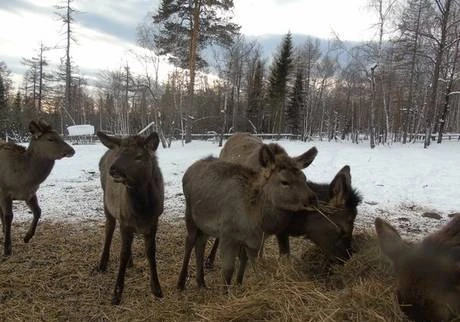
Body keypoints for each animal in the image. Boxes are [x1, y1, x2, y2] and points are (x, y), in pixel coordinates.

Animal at [0, 120, 74, 256]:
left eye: (60, 136)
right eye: (50, 139)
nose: (72, 150)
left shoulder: (30, 193)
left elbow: (38, 211)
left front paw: (27, 237)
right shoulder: (4, 191)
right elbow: (9, 216)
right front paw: (7, 249)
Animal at [95, 132, 164, 306]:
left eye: (139, 156)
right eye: (119, 154)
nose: (114, 169)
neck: (141, 211)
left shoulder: (154, 222)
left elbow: (151, 252)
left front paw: (157, 289)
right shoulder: (125, 222)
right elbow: (122, 254)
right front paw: (116, 294)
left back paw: (130, 262)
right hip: (107, 203)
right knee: (109, 228)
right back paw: (102, 263)